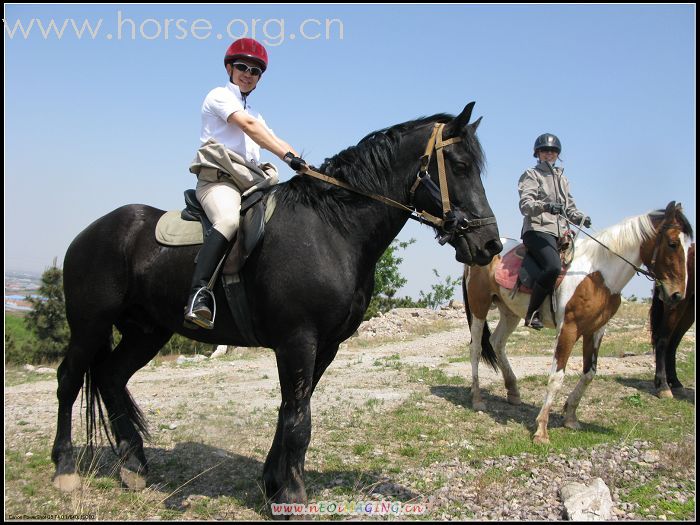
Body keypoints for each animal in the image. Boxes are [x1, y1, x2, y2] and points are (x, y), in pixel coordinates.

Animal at [52, 102, 504, 508]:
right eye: (460, 165)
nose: (489, 245)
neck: (332, 228)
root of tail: (90, 232)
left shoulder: (324, 346)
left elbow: (290, 412)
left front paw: (274, 484)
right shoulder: (297, 341)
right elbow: (298, 420)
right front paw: (292, 495)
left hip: (147, 332)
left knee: (111, 377)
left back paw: (133, 466)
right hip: (90, 324)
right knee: (69, 380)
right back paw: (65, 469)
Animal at [462, 201, 692, 442]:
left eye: (689, 248)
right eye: (673, 243)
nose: (677, 295)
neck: (598, 275)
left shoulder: (596, 330)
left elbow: (589, 373)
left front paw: (570, 416)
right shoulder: (568, 329)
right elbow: (556, 377)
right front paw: (541, 429)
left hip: (510, 312)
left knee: (497, 342)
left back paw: (513, 391)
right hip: (479, 308)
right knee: (476, 348)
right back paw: (477, 398)